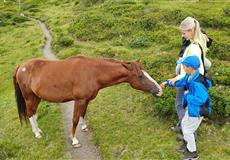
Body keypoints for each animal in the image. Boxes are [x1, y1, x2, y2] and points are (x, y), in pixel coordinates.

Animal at [13, 55, 164, 148]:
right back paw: (37, 133)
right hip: (29, 97)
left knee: (33, 113)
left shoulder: (85, 100)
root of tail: (21, 66)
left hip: (36, 97)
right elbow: (74, 119)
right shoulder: (79, 100)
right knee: (30, 114)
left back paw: (38, 130)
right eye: (140, 76)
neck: (93, 72)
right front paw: (74, 140)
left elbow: (83, 114)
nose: (159, 89)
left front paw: (84, 127)